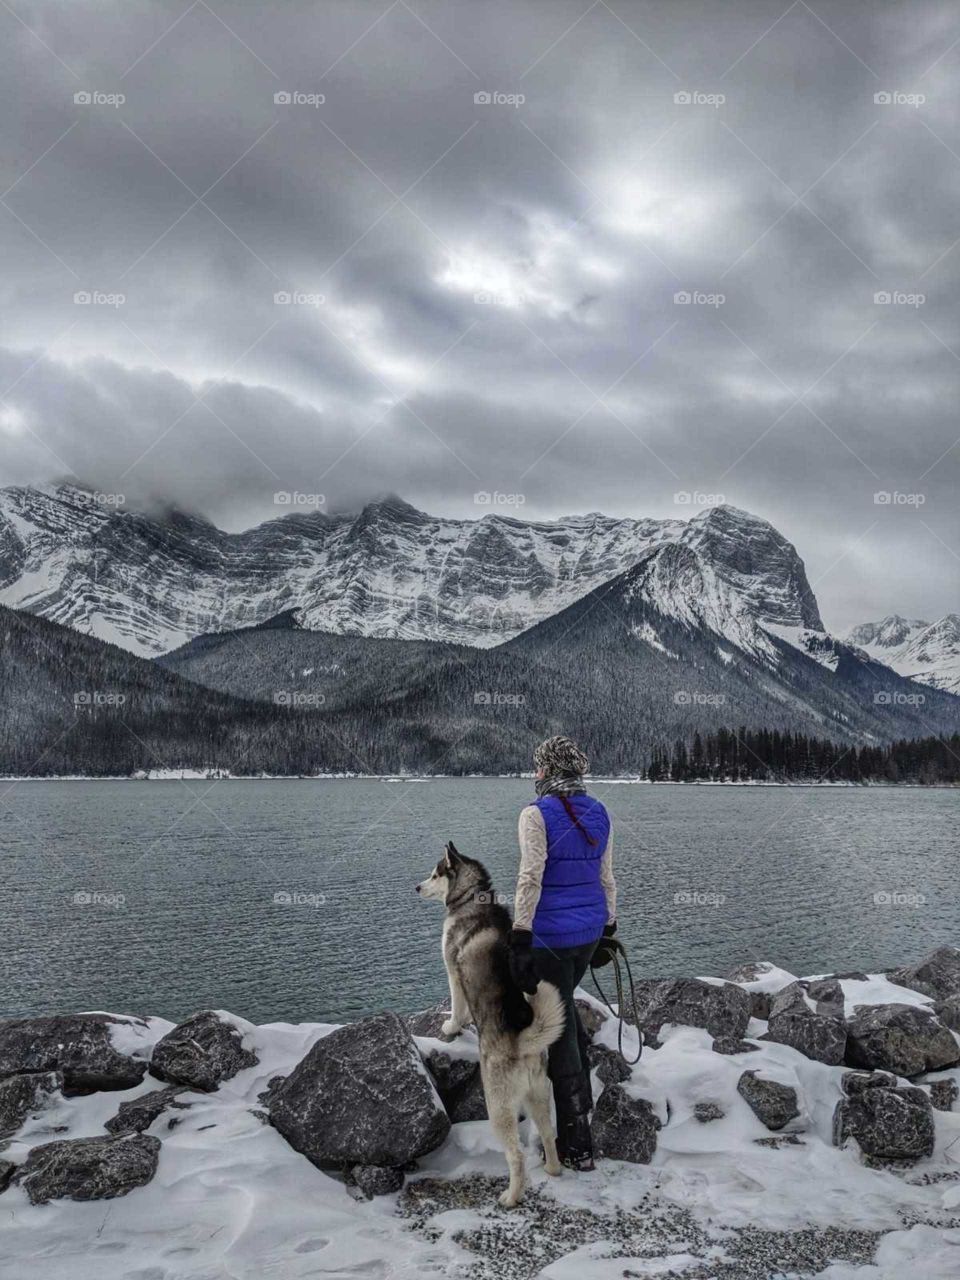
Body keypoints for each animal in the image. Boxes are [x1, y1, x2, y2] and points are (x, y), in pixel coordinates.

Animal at [417, 844, 568, 1203]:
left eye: (434, 874)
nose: (416, 887)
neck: (472, 897)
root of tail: (522, 1042)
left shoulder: (452, 971)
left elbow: (457, 1007)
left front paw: (451, 1027)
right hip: (539, 1095)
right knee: (548, 1133)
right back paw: (553, 1169)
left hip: (497, 1105)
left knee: (516, 1155)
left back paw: (511, 1197)